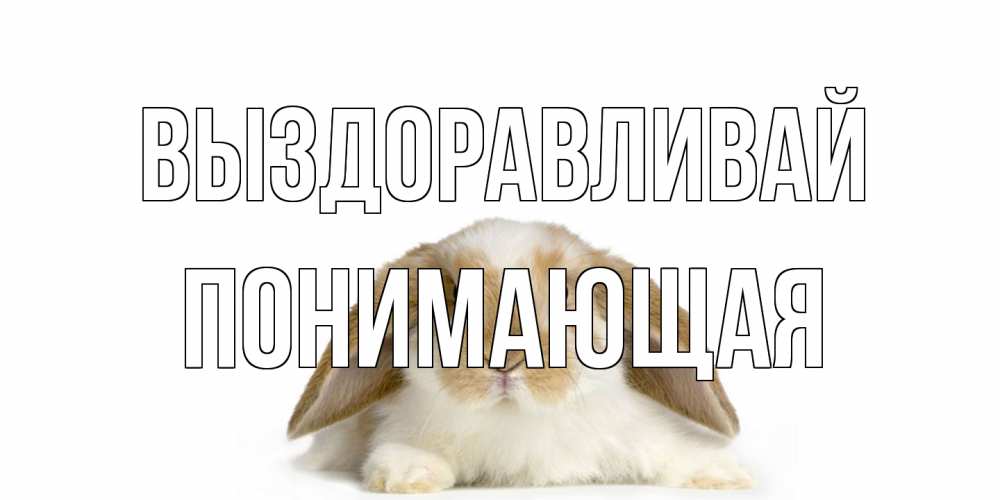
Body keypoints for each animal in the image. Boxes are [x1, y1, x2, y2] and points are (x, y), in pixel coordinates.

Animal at [287, 218, 751, 493]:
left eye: (567, 294)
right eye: (451, 294)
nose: (505, 358)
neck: (514, 419)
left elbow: (671, 451)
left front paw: (725, 474)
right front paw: (408, 474)